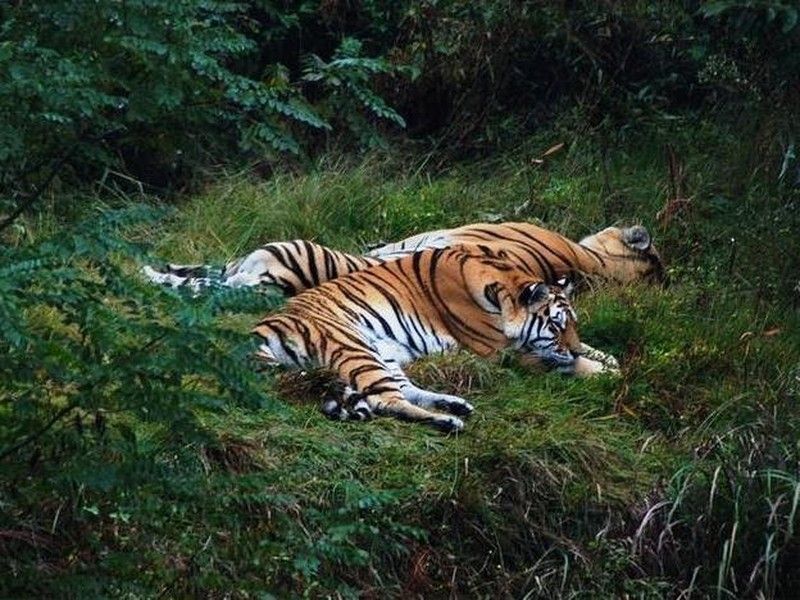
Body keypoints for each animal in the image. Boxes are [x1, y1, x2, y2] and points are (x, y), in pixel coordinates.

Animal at [253, 244, 616, 432]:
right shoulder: (501, 352)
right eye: (555, 326)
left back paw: (454, 404)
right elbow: (565, 363)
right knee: (386, 401)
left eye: (572, 325)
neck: (502, 282)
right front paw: (603, 372)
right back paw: (448, 419)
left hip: (381, 352)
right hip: (353, 346)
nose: (571, 348)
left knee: (403, 390)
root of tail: (262, 327)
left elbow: (591, 350)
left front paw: (608, 359)